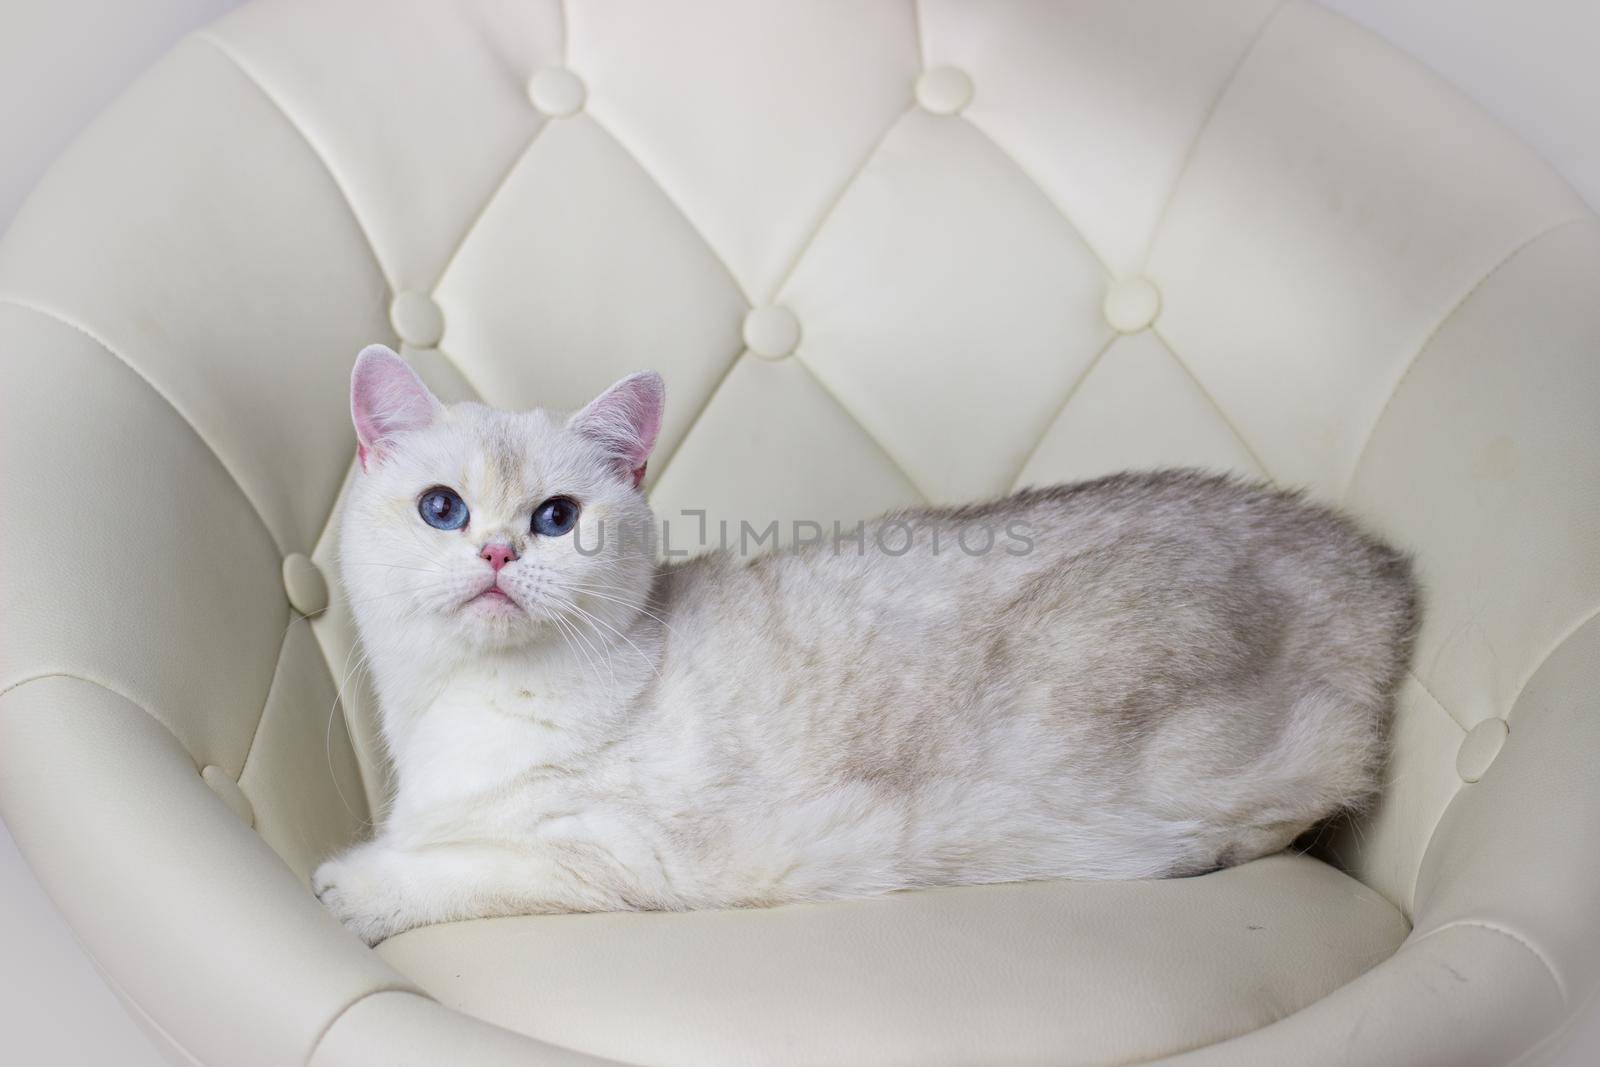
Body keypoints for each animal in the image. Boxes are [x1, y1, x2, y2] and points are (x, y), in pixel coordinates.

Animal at [312, 347, 1414, 947]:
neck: (461, 708)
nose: (498, 550)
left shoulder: (613, 858)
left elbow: (445, 866)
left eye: (555, 517)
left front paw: (347, 885)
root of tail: (1363, 555)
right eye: (443, 508)